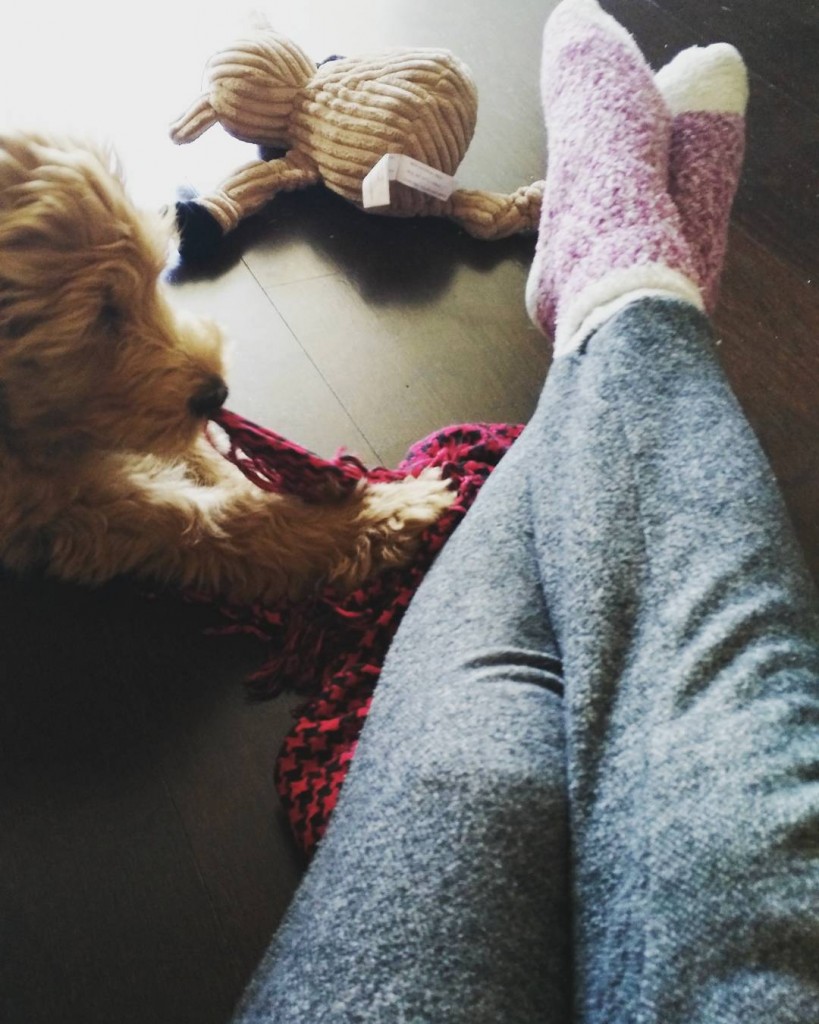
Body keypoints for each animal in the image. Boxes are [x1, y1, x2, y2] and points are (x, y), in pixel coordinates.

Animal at [0, 132, 454, 602]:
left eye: (155, 281)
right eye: (101, 315)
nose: (217, 393)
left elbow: (201, 451)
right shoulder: (72, 507)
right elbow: (213, 520)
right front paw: (379, 513)